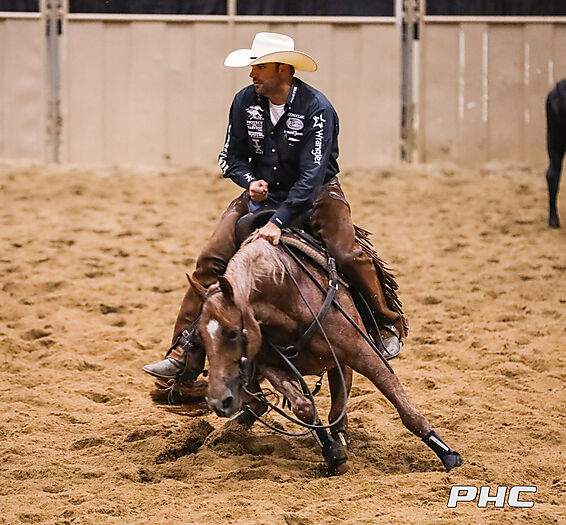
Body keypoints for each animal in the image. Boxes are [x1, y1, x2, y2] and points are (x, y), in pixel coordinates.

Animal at [188, 233, 463, 474]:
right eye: (200, 335)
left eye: (233, 333)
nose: (218, 401)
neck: (284, 293)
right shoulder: (269, 363)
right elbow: (304, 407)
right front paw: (333, 454)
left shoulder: (363, 352)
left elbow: (402, 404)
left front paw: (448, 455)